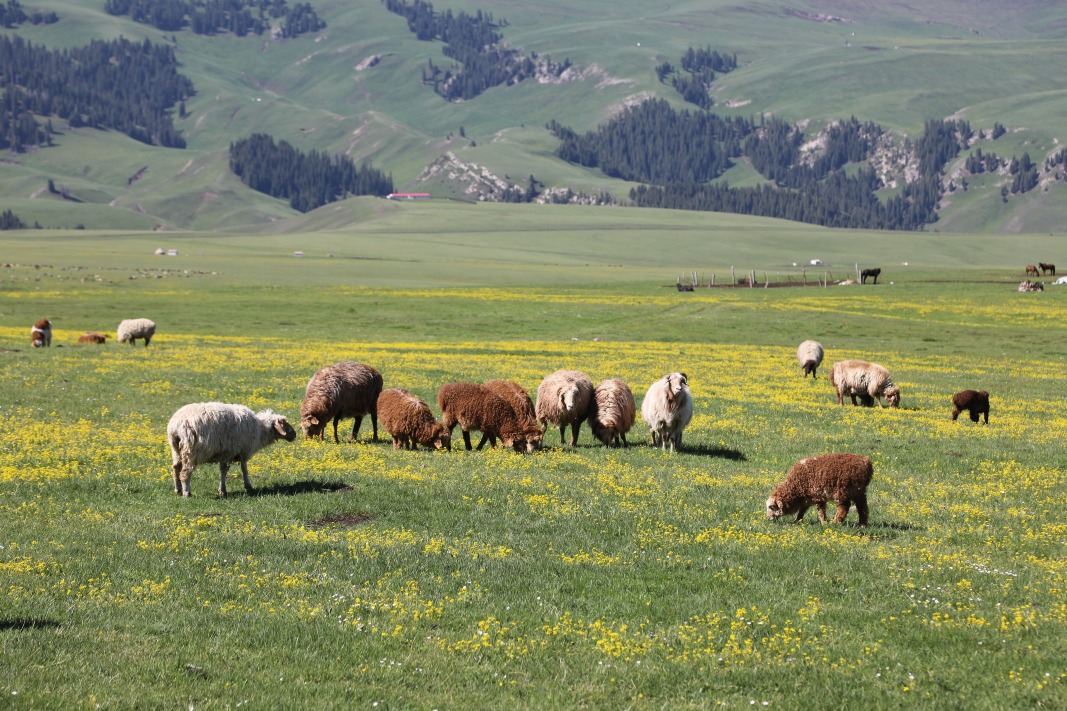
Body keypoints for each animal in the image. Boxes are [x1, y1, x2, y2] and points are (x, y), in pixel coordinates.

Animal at [168, 401, 298, 495]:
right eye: (284, 423)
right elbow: (244, 469)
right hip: (192, 451)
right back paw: (187, 493)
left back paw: (178, 490)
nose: (294, 434)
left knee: (176, 469)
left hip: (176, 450)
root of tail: (176, 425)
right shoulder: (243, 450)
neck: (261, 429)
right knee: (185, 473)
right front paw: (248, 487)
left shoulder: (225, 452)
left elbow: (223, 471)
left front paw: (223, 490)